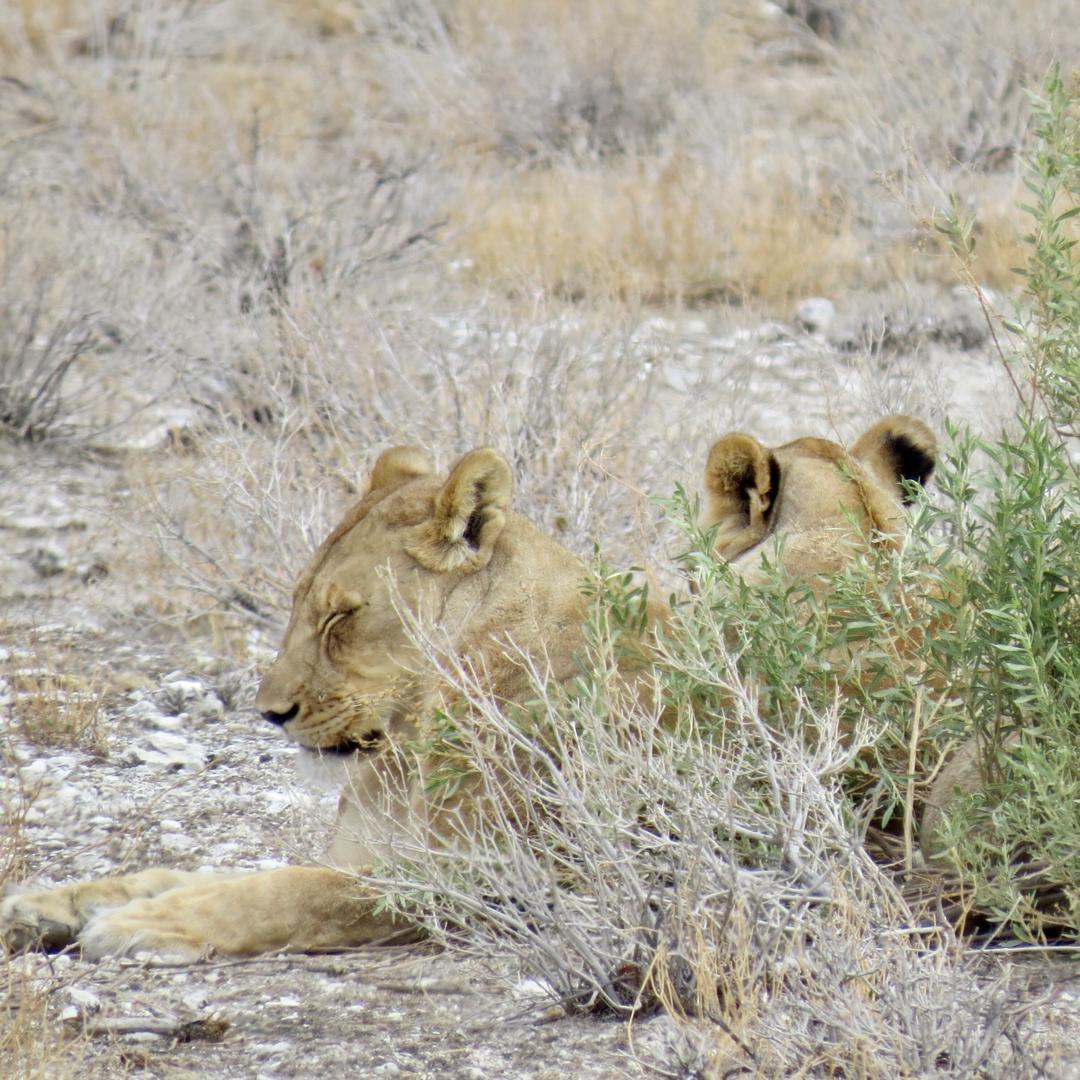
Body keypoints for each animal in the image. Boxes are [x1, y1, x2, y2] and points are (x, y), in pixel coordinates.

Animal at [1, 416, 937, 961]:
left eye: (341, 617)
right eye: (297, 601)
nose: (271, 714)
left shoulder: (486, 880)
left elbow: (282, 892)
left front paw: (144, 928)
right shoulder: (367, 848)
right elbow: (178, 869)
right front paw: (51, 903)